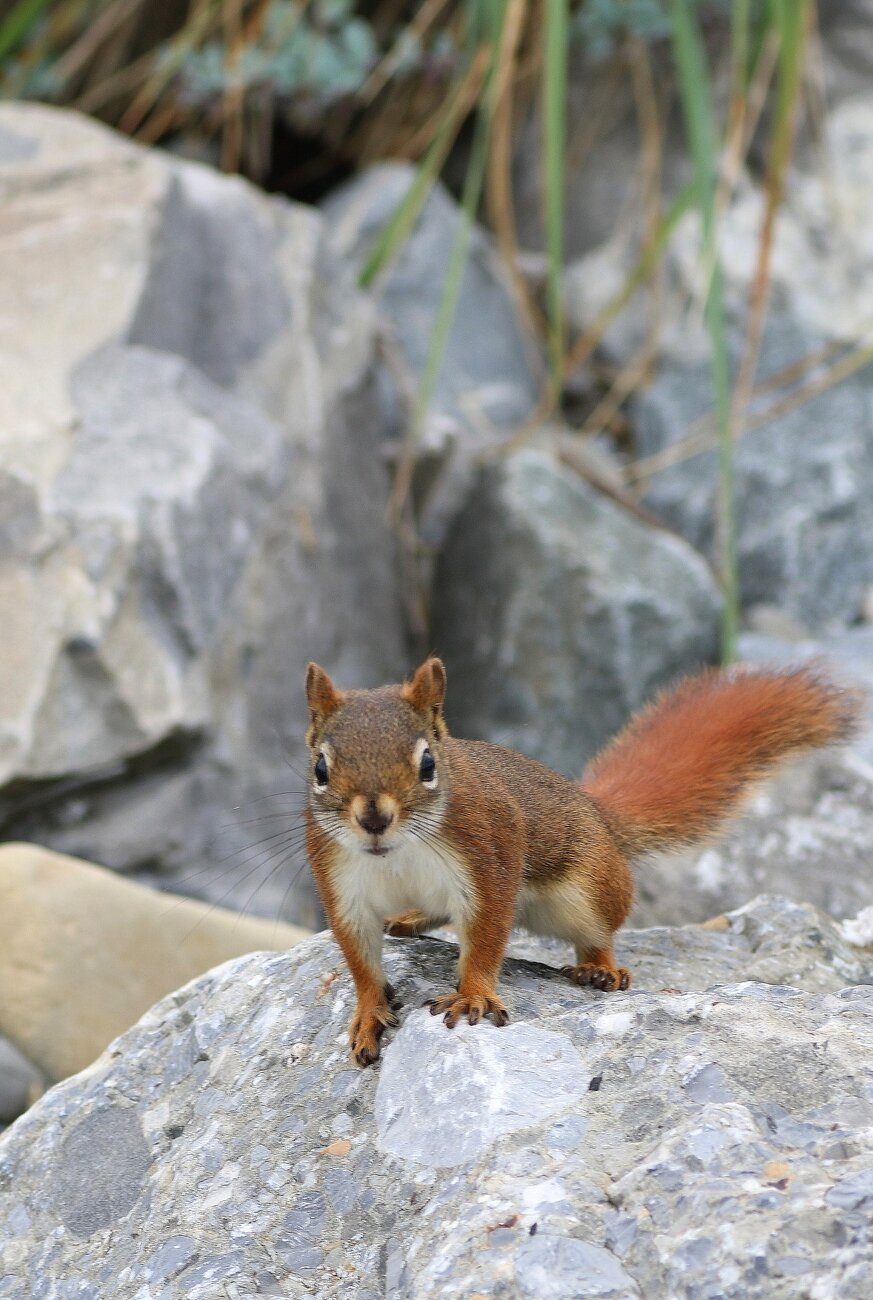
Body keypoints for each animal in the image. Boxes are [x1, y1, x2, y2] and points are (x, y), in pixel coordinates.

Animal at [303, 656, 861, 1067]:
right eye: (320, 768)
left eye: (427, 764)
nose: (374, 818)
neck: (395, 856)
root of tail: (593, 810)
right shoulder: (339, 881)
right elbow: (359, 958)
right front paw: (368, 1013)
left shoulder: (491, 855)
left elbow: (485, 938)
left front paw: (472, 995)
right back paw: (412, 917)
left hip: (588, 888)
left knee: (599, 932)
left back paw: (600, 970)